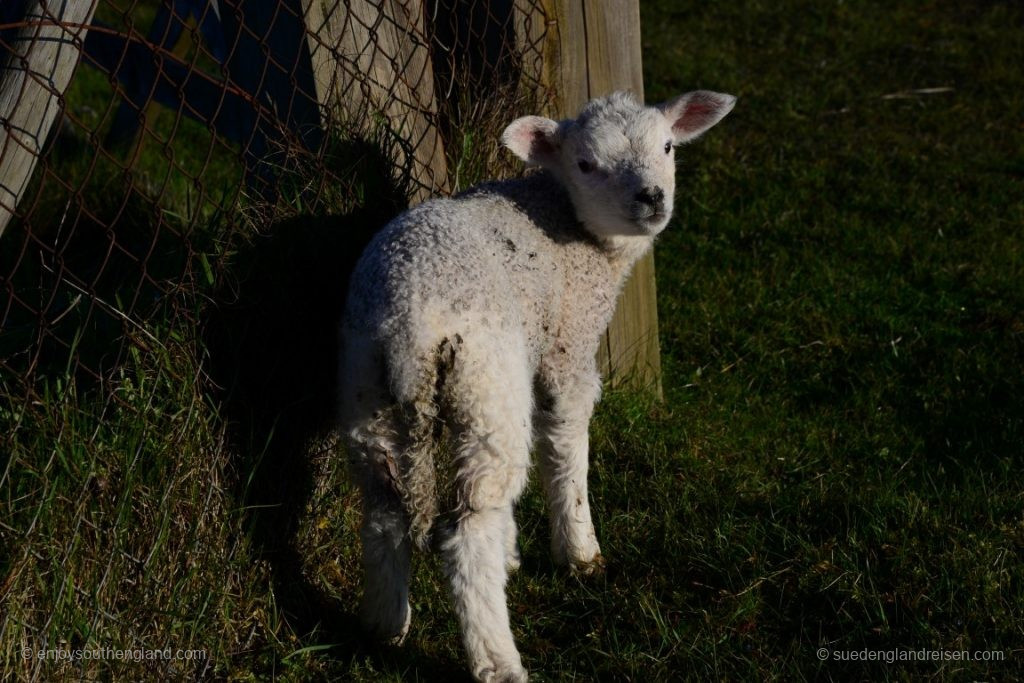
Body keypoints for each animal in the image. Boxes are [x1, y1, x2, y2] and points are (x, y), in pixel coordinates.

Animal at [339, 90, 733, 683]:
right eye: (586, 164)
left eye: (667, 146)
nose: (651, 199)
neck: (563, 215)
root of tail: (407, 327)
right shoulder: (567, 346)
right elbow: (567, 446)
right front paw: (580, 553)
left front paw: (516, 553)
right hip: (484, 382)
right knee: (467, 534)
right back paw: (498, 660)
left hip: (368, 388)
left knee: (385, 513)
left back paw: (386, 631)